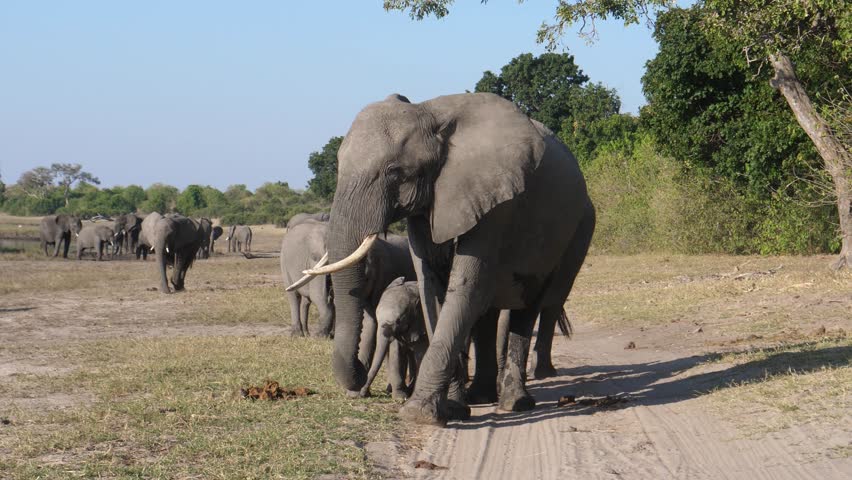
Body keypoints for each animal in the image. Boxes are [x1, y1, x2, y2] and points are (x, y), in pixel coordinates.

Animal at [299, 92, 595, 426]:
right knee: (489, 312)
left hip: (568, 234)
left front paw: (419, 414)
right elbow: (432, 289)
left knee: (529, 304)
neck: (429, 113)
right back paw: (481, 397)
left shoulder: (496, 201)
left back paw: (514, 402)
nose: (360, 378)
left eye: (394, 171)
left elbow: (465, 289)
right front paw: (453, 409)